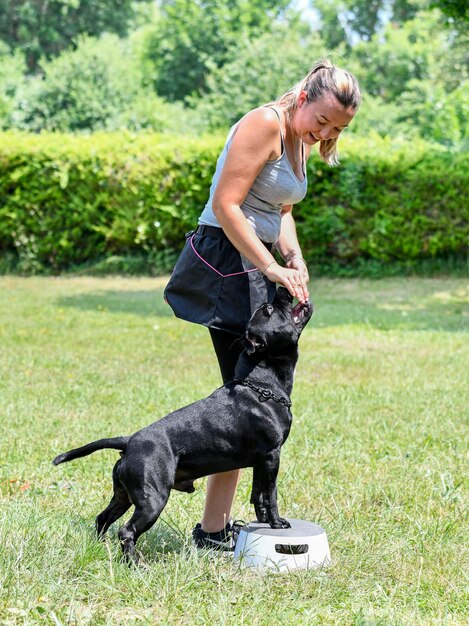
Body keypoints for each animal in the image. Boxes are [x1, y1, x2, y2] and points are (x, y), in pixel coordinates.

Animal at [53, 286, 312, 560]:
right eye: (269, 310)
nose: (283, 289)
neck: (261, 384)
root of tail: (130, 441)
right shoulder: (272, 456)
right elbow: (270, 495)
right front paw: (277, 523)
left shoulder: (260, 462)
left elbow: (258, 495)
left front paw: (263, 521)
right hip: (153, 500)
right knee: (126, 531)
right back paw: (135, 563)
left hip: (123, 496)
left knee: (103, 518)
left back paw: (101, 548)